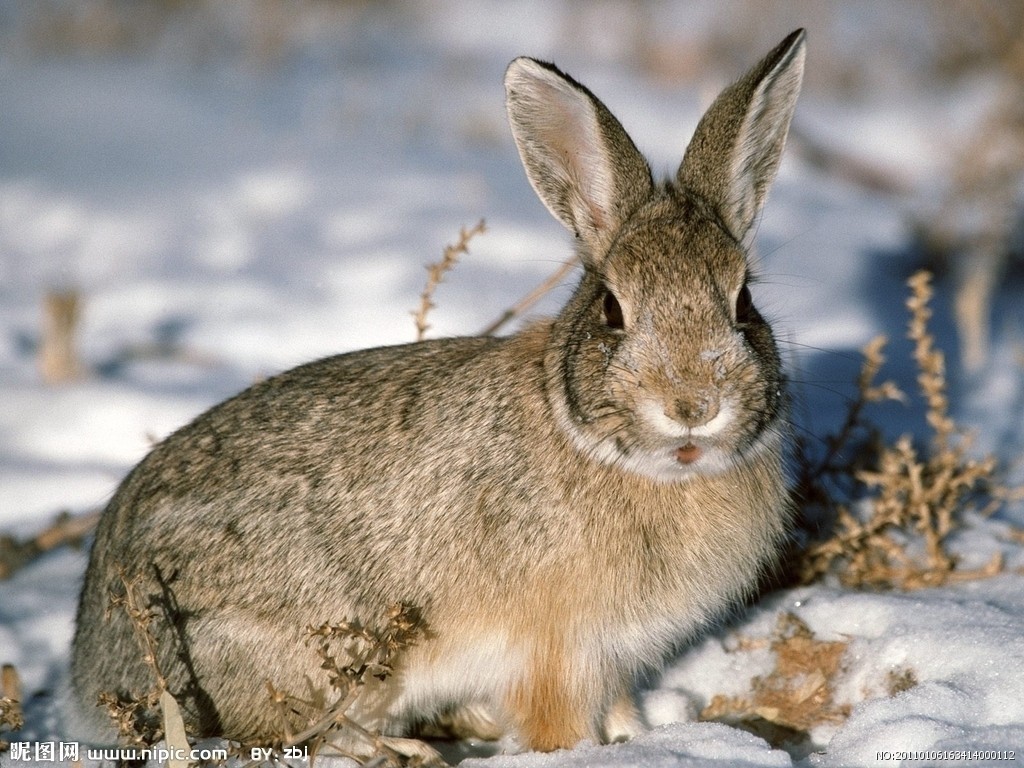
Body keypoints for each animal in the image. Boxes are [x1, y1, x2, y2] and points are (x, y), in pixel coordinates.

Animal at [70, 30, 806, 765]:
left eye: (743, 303)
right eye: (612, 310)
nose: (693, 405)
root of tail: (91, 664)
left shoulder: (614, 657)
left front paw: (640, 737)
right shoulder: (556, 653)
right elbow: (557, 724)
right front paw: (582, 751)